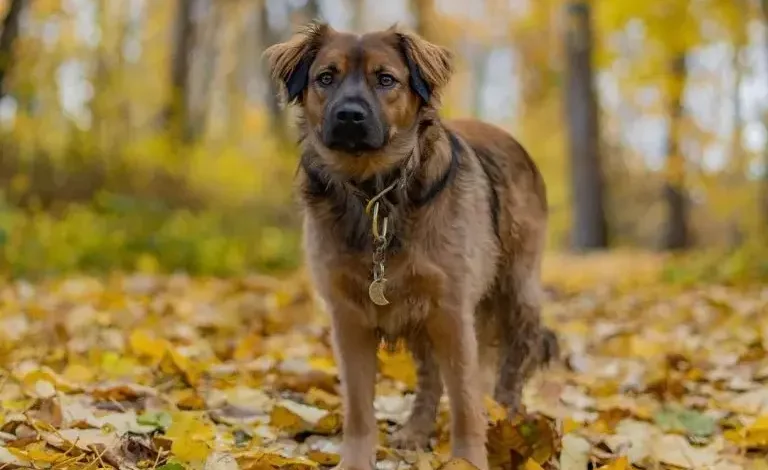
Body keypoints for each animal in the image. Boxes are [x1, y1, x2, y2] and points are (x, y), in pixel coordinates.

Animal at [264, 22, 560, 470]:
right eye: (325, 78)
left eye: (386, 79)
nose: (349, 115)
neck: (376, 194)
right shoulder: (348, 318)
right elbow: (358, 408)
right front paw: (355, 462)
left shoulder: (453, 313)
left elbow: (465, 403)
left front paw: (468, 460)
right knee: (430, 379)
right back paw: (416, 431)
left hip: (517, 292)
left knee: (513, 365)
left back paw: (509, 424)